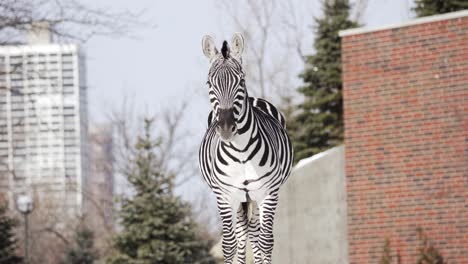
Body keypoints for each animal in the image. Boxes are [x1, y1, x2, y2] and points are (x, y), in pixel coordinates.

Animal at [197, 33, 292, 264]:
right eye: (209, 83)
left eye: (240, 81)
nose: (225, 128)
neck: (240, 153)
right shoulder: (224, 195)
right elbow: (229, 245)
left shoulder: (268, 192)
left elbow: (265, 242)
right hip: (239, 198)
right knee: (242, 237)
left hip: (254, 197)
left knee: (256, 236)